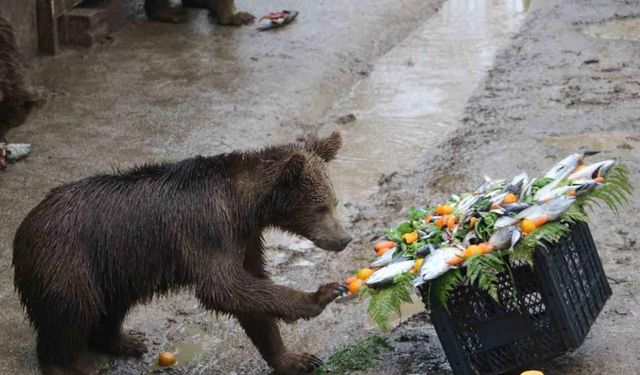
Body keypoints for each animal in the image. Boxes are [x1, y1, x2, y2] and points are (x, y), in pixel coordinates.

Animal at [12, 131, 352, 374]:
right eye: (321, 207)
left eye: (334, 202)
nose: (344, 238)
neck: (244, 205)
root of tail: (25, 226)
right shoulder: (208, 230)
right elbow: (224, 287)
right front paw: (322, 295)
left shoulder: (245, 240)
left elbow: (251, 294)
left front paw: (296, 358)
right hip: (68, 261)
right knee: (71, 313)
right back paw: (65, 364)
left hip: (114, 265)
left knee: (112, 304)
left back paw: (127, 340)